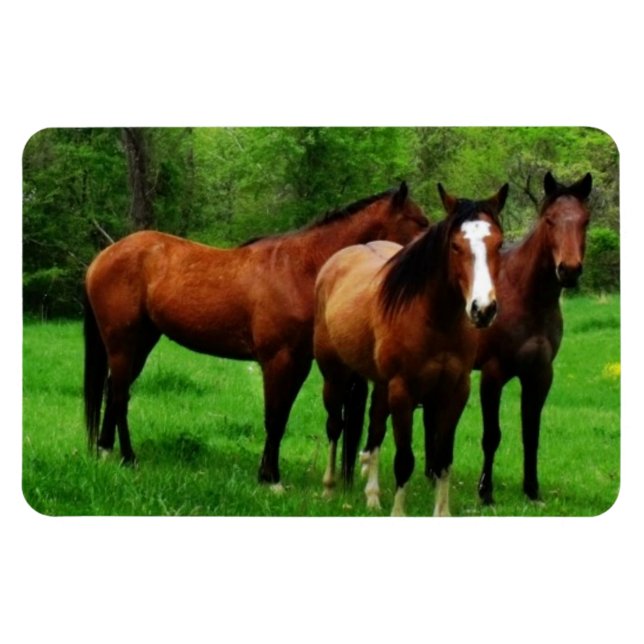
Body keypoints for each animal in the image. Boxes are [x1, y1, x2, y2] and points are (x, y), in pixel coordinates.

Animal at [83, 182, 429, 488]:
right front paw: (271, 478)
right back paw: (128, 457)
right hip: (123, 342)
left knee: (113, 390)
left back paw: (106, 451)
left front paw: (266, 474)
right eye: (419, 222)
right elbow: (273, 418)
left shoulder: (298, 364)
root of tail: (103, 256)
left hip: (141, 342)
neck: (301, 269)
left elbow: (281, 416)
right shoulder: (278, 361)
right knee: (119, 395)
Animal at [313, 183, 507, 516]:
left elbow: (442, 459)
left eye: (498, 243)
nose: (482, 309)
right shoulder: (403, 391)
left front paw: (442, 512)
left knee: (375, 429)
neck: (435, 320)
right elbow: (404, 460)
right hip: (335, 376)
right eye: (455, 246)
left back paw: (373, 496)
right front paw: (398, 512)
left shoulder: (455, 392)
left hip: (380, 385)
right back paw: (329, 487)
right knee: (335, 426)